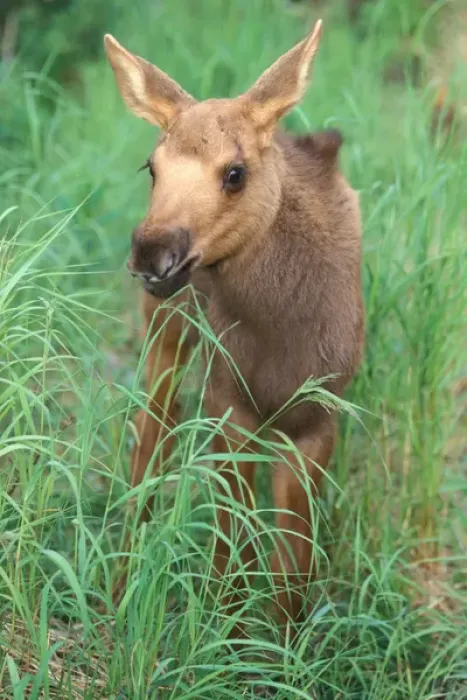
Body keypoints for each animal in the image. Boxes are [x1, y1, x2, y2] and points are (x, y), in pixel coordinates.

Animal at [104, 19, 364, 637]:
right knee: (151, 440)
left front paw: (278, 649)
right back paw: (121, 585)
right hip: (166, 331)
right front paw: (222, 636)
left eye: (235, 173)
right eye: (152, 167)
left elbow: (293, 565)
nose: (152, 254)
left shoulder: (318, 420)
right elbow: (233, 543)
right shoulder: (228, 404)